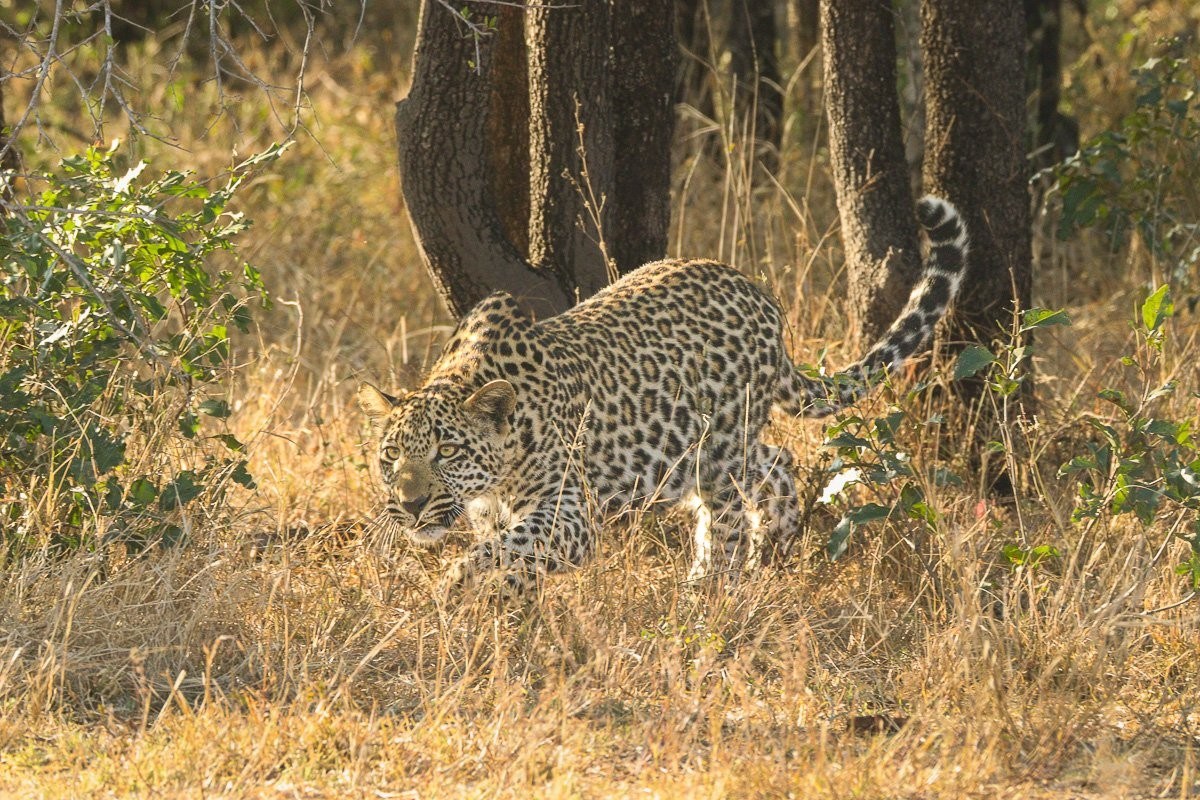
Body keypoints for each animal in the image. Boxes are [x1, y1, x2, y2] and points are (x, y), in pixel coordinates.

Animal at [358, 195, 968, 599]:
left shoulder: (570, 512)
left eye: (448, 452)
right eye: (391, 456)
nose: (411, 505)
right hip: (712, 447)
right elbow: (512, 557)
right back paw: (775, 547)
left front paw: (462, 586)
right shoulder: (493, 513)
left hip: (716, 454)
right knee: (779, 461)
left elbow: (505, 549)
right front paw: (505, 607)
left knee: (727, 520)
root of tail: (762, 300)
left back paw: (710, 590)